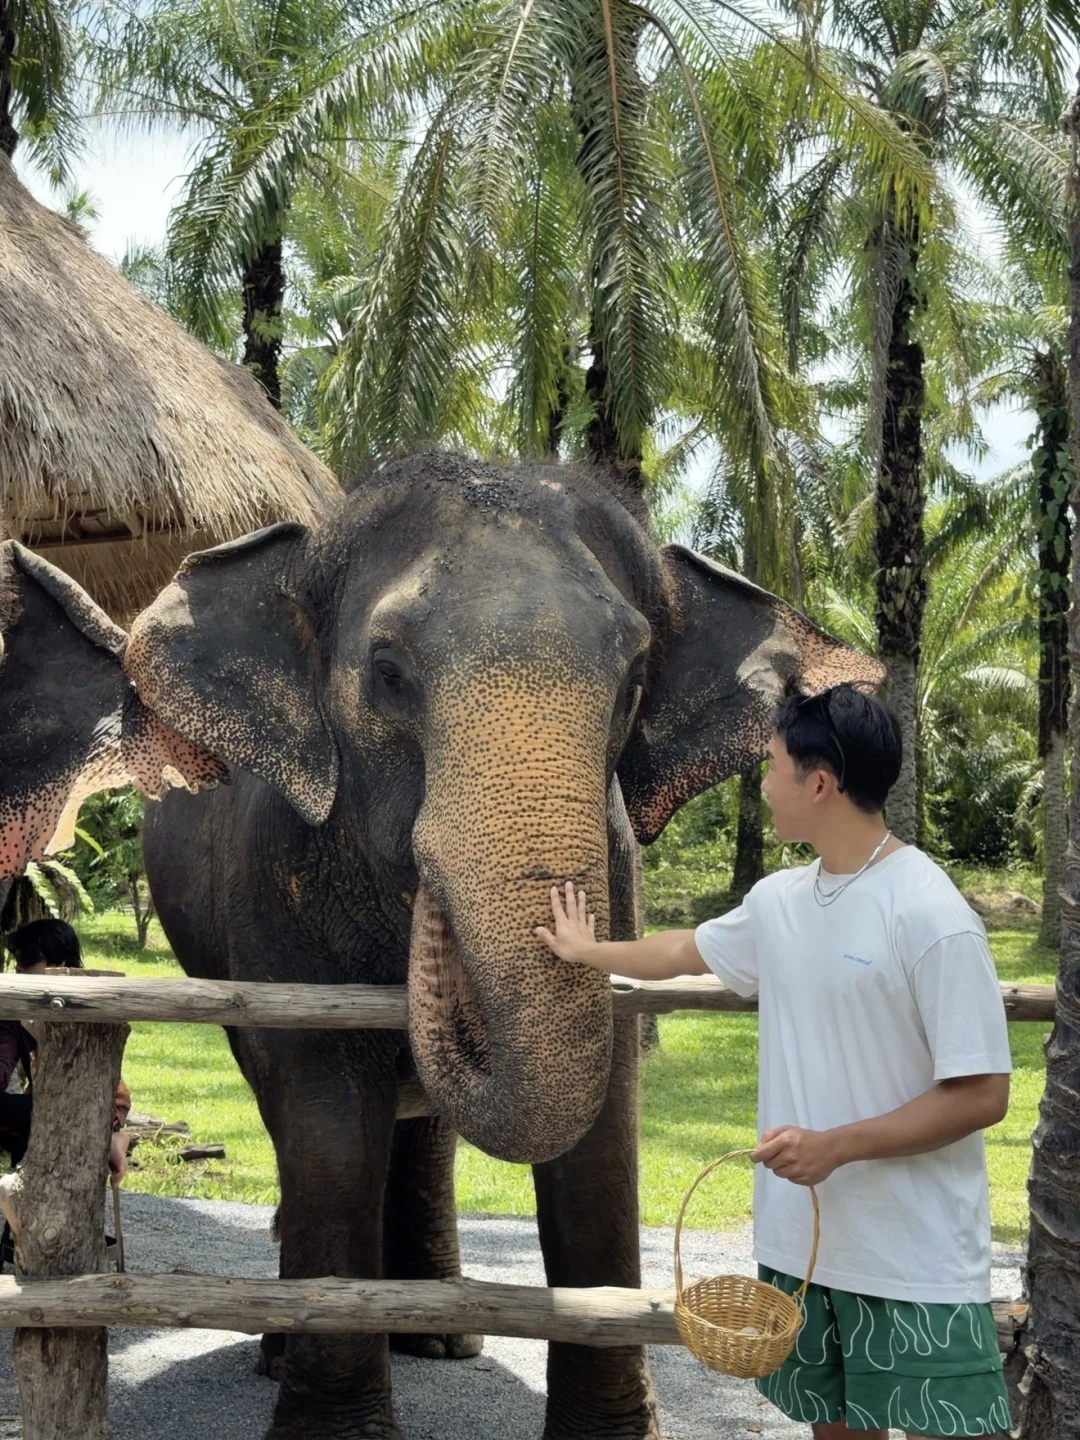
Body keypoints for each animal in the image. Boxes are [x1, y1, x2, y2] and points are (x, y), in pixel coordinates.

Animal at [123, 453, 881, 1440]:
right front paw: (334, 1426)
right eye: (388, 671)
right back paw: (289, 1349)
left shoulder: (619, 866)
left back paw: (443, 1338)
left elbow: (603, 1125)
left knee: (425, 1130)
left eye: (633, 677)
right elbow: (328, 1115)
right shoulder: (274, 875)